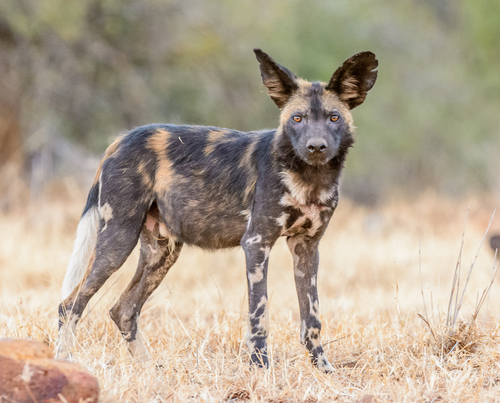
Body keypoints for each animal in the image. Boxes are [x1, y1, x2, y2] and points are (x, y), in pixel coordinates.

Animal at [56, 48, 376, 372]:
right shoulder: (257, 244)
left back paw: (148, 368)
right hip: (117, 242)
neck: (309, 180)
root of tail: (120, 140)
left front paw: (323, 369)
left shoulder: (307, 248)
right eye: (297, 118)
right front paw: (261, 368)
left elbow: (311, 319)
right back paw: (64, 360)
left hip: (162, 252)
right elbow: (260, 315)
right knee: (70, 304)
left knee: (123, 309)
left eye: (334, 117)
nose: (316, 146)